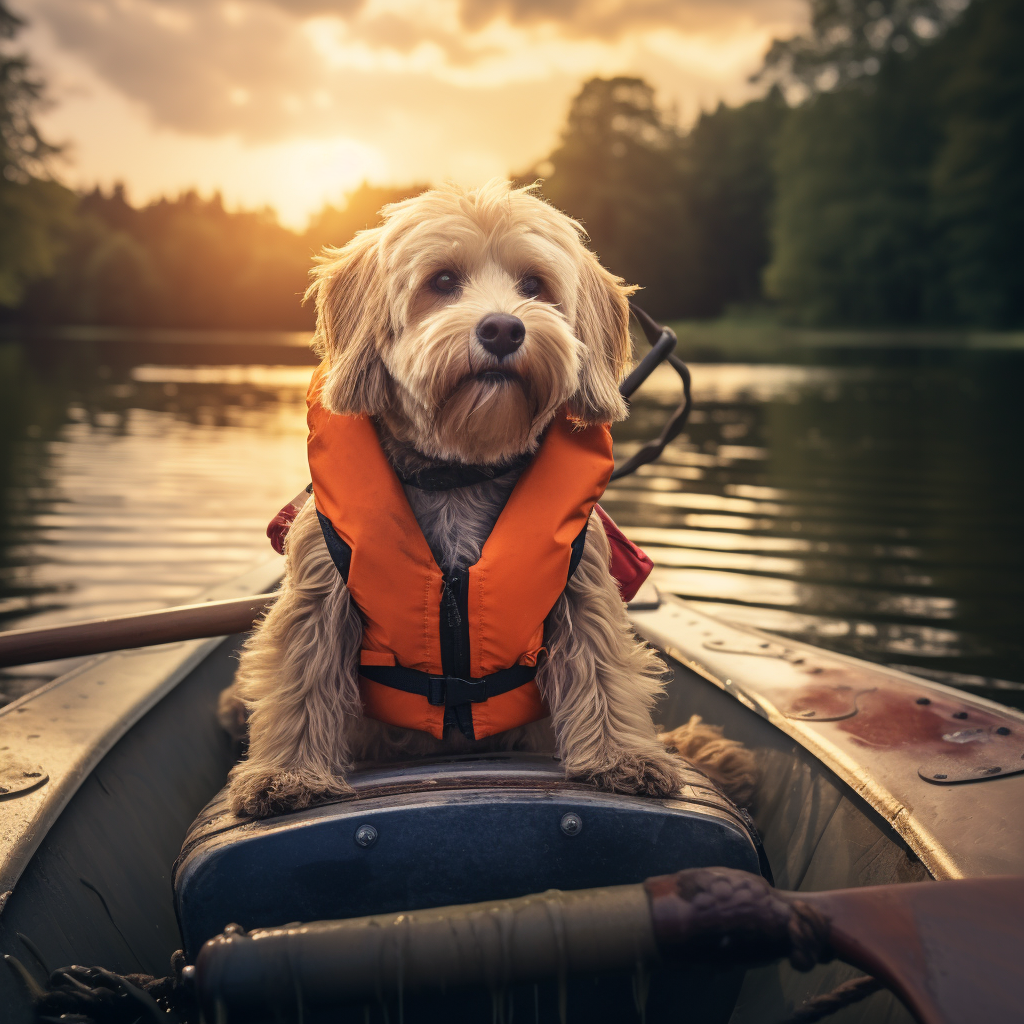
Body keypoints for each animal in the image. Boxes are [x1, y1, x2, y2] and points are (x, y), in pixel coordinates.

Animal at [222, 178, 753, 815]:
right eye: (443, 280)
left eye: (534, 286)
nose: (503, 329)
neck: (459, 471)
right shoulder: (319, 595)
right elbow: (302, 680)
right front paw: (287, 774)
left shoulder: (582, 587)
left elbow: (603, 669)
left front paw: (623, 757)